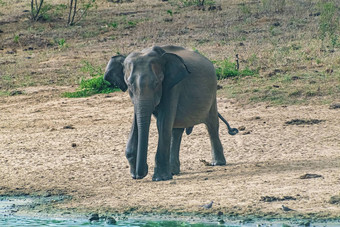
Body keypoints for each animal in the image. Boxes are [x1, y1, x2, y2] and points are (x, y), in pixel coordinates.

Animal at [103, 45, 239, 181]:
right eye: (129, 84)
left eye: (157, 83)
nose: (141, 173)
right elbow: (137, 119)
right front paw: (135, 174)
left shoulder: (173, 86)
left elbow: (162, 123)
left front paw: (160, 178)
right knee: (176, 130)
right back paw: (174, 171)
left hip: (212, 94)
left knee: (211, 125)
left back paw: (217, 163)